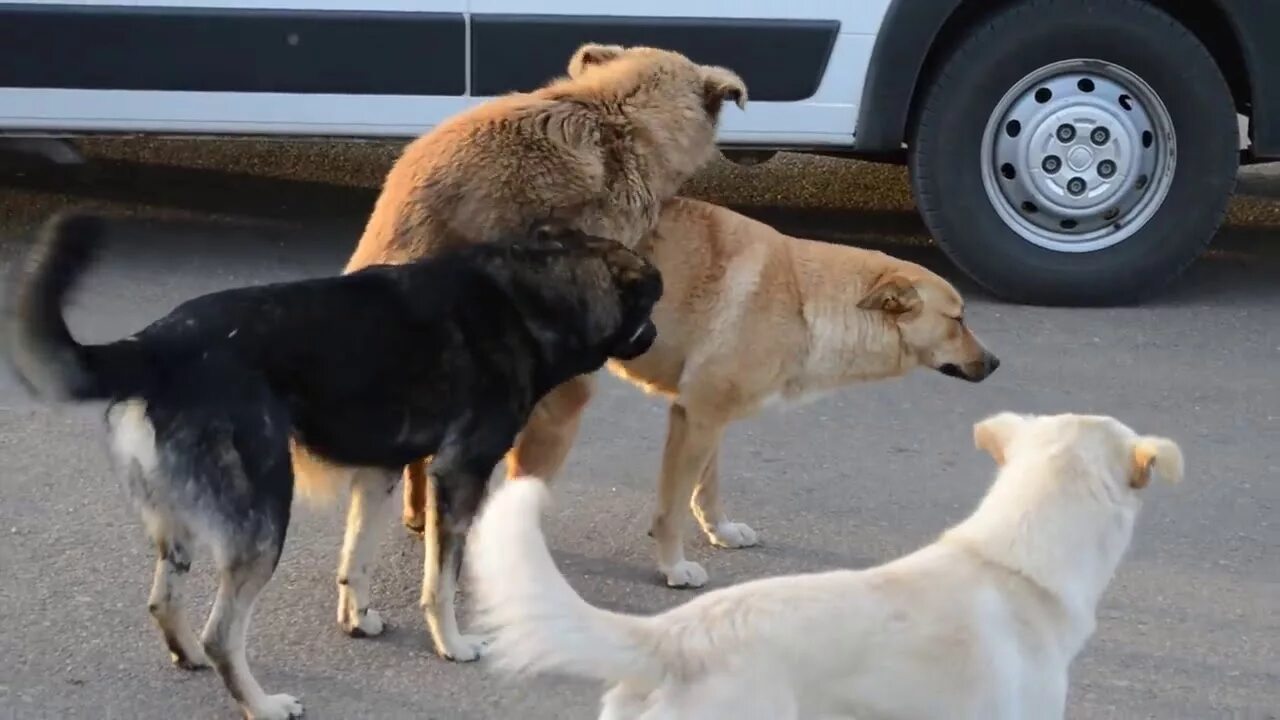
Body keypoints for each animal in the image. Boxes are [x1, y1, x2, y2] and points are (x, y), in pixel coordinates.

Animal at [10, 210, 665, 712]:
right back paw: (261, 705)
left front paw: (359, 617)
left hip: (181, 526)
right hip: (264, 522)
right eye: (651, 304)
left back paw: (190, 655)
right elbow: (442, 581)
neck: (532, 296)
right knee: (224, 634)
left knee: (165, 601)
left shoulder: (379, 473)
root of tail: (155, 344)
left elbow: (357, 558)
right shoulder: (459, 475)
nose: (658, 335)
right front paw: (452, 644)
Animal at [409, 194, 998, 584]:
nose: (994, 363)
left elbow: (706, 487)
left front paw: (720, 529)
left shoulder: (706, 417)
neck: (807, 300)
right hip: (556, 417)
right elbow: (671, 507)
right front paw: (673, 564)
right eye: (959, 320)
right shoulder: (697, 418)